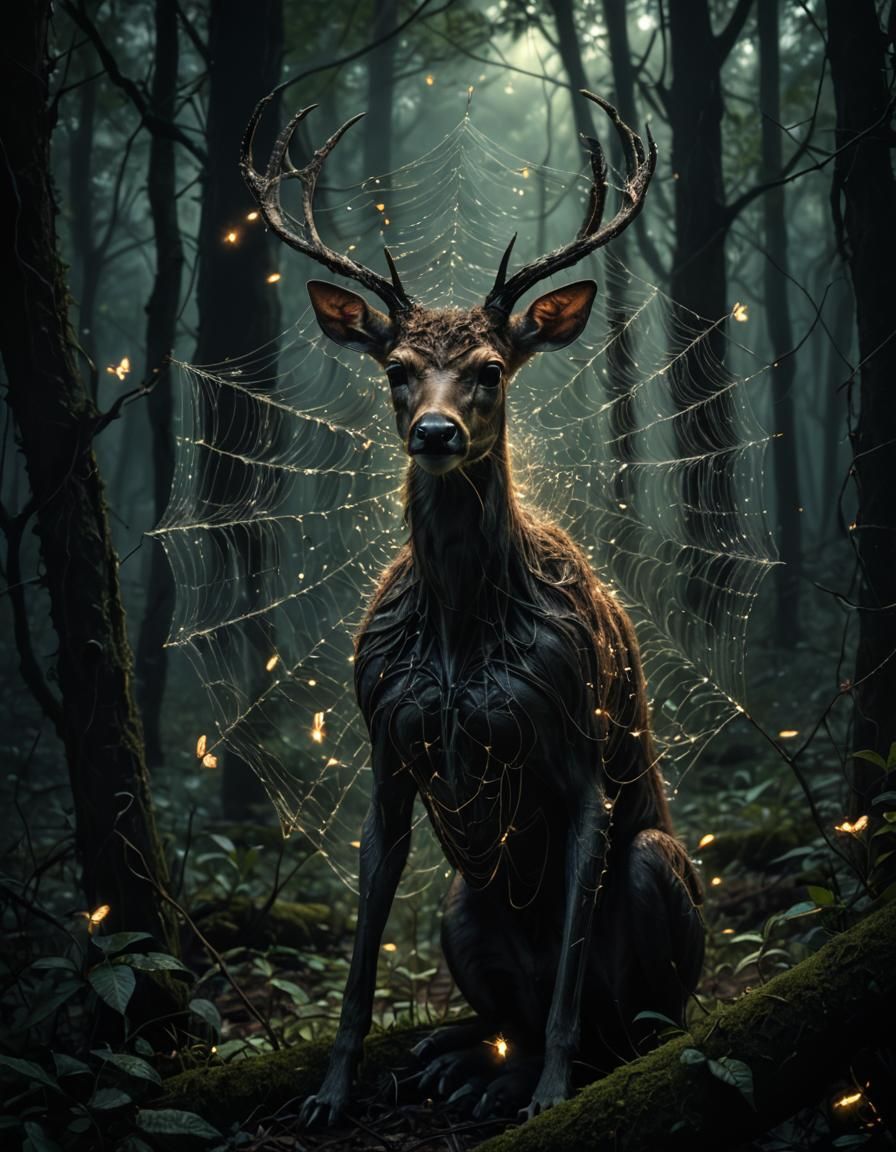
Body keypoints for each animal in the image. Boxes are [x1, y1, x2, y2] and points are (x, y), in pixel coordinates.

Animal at [241, 89, 704, 1126]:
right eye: (396, 369)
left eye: (491, 368)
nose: (435, 432)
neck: (460, 630)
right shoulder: (383, 745)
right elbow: (361, 960)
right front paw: (329, 1093)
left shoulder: (578, 745)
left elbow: (572, 984)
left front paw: (555, 1097)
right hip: (463, 906)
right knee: (512, 1015)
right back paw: (456, 1062)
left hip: (656, 870)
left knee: (628, 1025)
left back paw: (522, 1075)